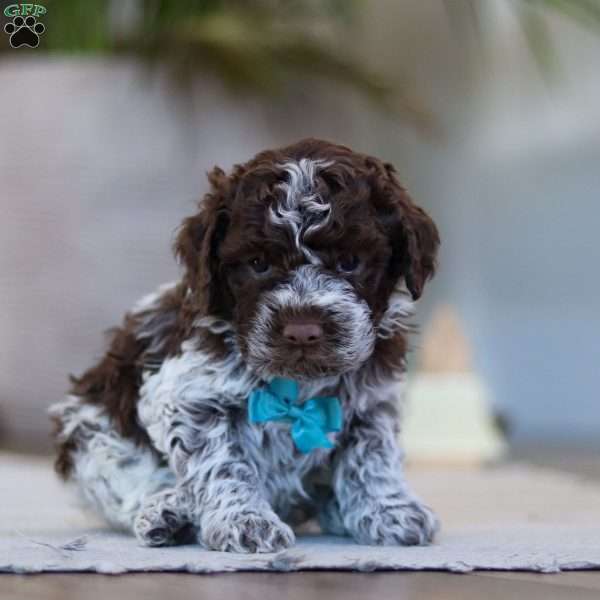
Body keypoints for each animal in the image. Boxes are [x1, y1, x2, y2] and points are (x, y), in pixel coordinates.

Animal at [50, 137, 440, 552]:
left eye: (350, 261)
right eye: (257, 263)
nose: (302, 330)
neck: (297, 384)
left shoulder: (374, 401)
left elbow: (373, 456)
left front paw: (390, 509)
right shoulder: (189, 400)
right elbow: (223, 465)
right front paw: (244, 521)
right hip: (92, 432)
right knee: (129, 481)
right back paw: (169, 511)